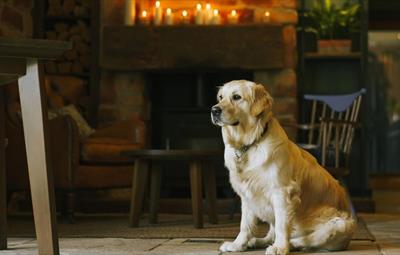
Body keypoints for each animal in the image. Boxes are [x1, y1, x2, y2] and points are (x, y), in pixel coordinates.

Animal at [211, 80, 354, 255]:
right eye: (220, 97)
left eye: (236, 97)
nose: (214, 110)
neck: (250, 144)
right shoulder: (247, 195)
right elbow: (245, 225)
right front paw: (237, 245)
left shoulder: (283, 193)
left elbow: (281, 226)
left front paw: (280, 248)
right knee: (270, 234)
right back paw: (257, 241)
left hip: (340, 224)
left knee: (304, 240)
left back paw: (286, 244)